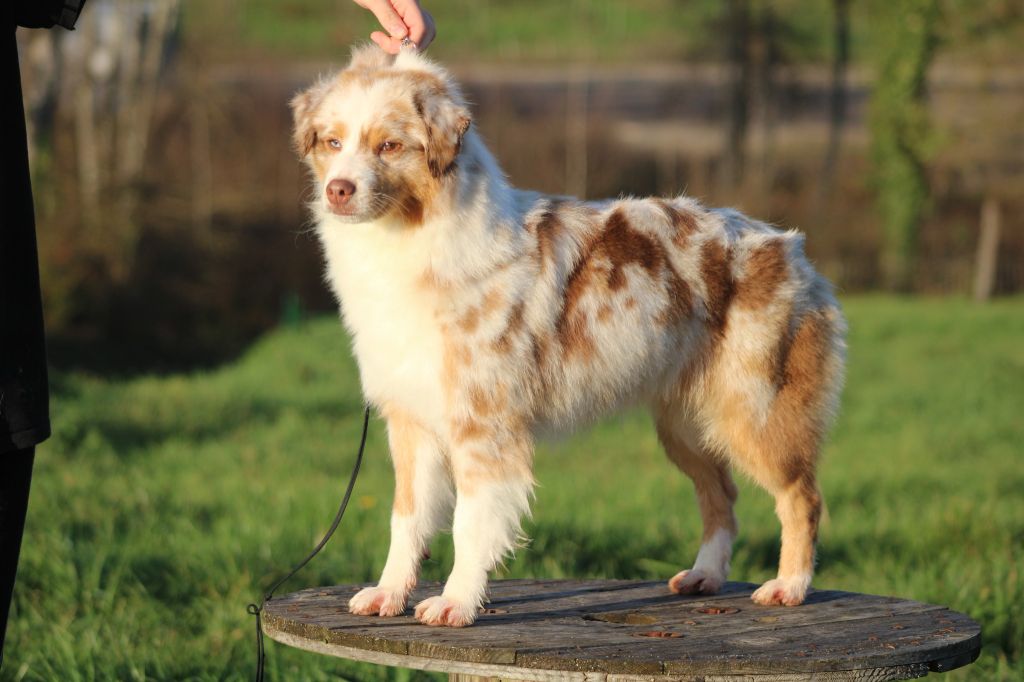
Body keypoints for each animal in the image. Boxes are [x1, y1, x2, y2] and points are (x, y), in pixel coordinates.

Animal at [290, 43, 847, 626]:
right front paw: (390, 592)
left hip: (754, 413)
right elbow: (407, 519)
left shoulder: (485, 427)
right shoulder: (411, 421)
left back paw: (789, 585)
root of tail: (790, 247)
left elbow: (470, 525)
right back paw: (706, 575)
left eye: (390, 145)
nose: (338, 190)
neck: (409, 240)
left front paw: (456, 602)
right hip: (687, 426)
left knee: (802, 497)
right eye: (332, 142)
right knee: (722, 496)